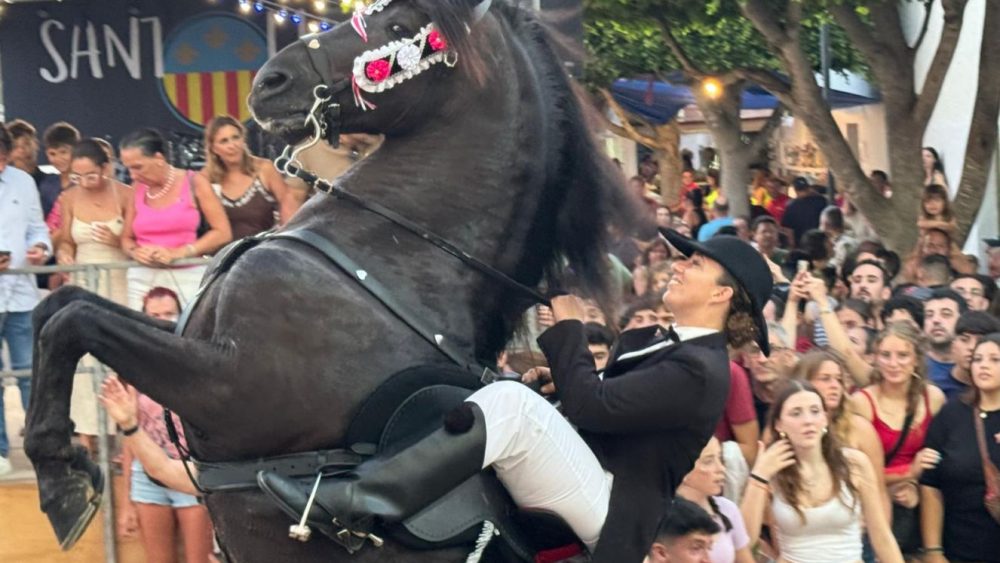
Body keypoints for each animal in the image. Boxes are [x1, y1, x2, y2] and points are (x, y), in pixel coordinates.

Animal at [29, 0, 640, 560]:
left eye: (399, 26)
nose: (269, 81)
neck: (396, 253)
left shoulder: (231, 385)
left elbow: (74, 321)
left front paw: (63, 486)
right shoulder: (188, 337)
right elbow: (58, 309)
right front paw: (70, 469)